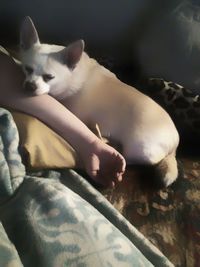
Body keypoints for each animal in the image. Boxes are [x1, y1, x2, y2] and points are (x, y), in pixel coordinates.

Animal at [19, 16, 180, 187]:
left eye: (49, 77)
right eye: (27, 69)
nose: (29, 85)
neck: (73, 75)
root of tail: (175, 144)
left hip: (139, 149)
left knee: (131, 158)